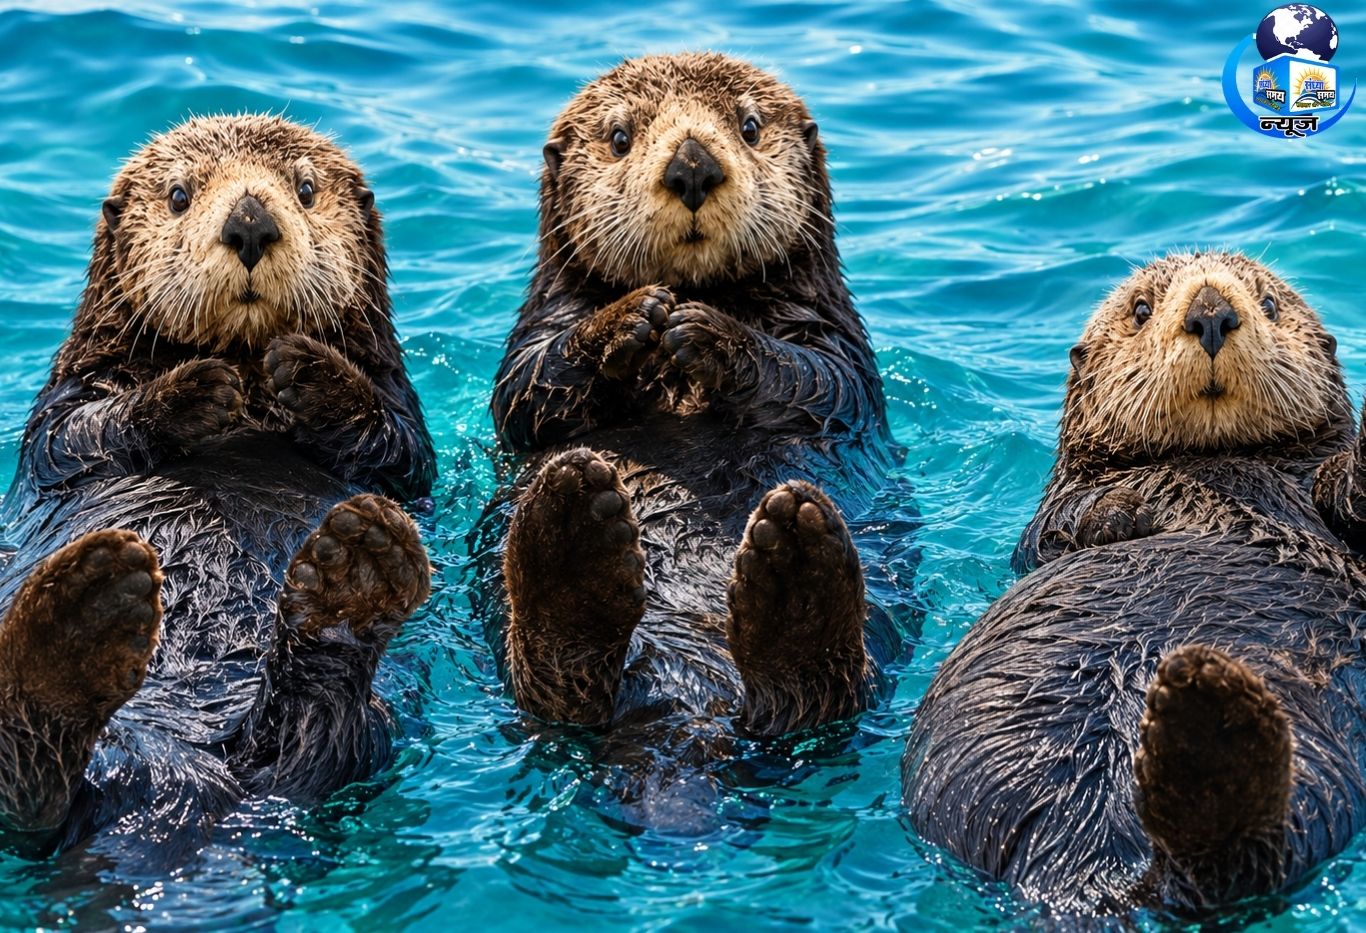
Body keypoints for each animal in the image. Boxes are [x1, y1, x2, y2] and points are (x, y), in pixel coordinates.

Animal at [0, 115, 435, 869]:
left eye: (305, 188)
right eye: (179, 195)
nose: (251, 222)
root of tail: (182, 778)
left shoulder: (399, 407)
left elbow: (403, 452)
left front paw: (309, 371)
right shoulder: (66, 400)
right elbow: (76, 433)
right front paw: (193, 390)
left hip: (361, 736)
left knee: (321, 731)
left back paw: (353, 577)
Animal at [476, 52, 899, 812]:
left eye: (750, 126)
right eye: (620, 138)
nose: (693, 165)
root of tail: (686, 716)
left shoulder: (837, 341)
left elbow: (819, 379)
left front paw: (704, 333)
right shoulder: (539, 323)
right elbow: (528, 387)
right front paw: (632, 317)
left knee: (820, 698)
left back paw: (792, 570)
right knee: (560, 693)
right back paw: (572, 529)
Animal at [902, 251, 1366, 918]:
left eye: (1271, 304)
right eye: (1141, 309)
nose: (1210, 312)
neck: (1217, 464)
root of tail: (1093, 867)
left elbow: (1345, 490)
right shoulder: (1050, 515)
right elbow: (1059, 528)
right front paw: (1127, 510)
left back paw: (1202, 721)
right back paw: (1203, 722)